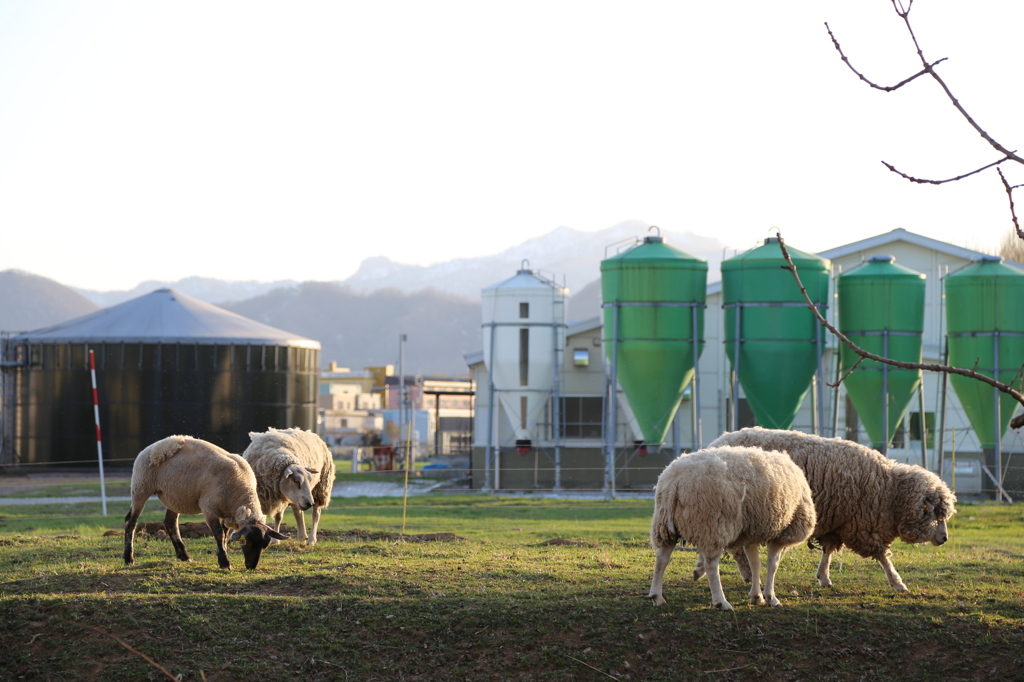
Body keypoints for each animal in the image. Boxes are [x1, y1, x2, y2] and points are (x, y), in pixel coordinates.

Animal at [122, 436, 288, 569]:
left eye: (265, 546)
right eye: (248, 542)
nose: (251, 566)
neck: (240, 493)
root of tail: (153, 446)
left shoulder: (227, 514)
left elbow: (225, 534)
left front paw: (223, 556)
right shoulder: (209, 508)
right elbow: (219, 534)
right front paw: (225, 562)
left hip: (174, 497)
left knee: (170, 522)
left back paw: (184, 556)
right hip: (141, 487)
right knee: (131, 522)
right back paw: (129, 558)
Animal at [647, 444, 815, 606]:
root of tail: (675, 480)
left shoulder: (751, 532)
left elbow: (755, 563)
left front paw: (757, 596)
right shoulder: (783, 532)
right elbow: (772, 565)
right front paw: (770, 597)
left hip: (664, 526)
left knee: (662, 558)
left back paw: (657, 597)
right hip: (712, 525)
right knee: (711, 565)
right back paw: (721, 602)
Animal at [708, 425, 954, 589]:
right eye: (936, 516)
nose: (944, 539)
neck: (889, 491)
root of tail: (716, 443)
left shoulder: (837, 522)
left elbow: (827, 551)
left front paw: (824, 577)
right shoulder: (861, 527)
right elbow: (882, 556)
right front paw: (897, 582)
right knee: (735, 548)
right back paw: (748, 574)